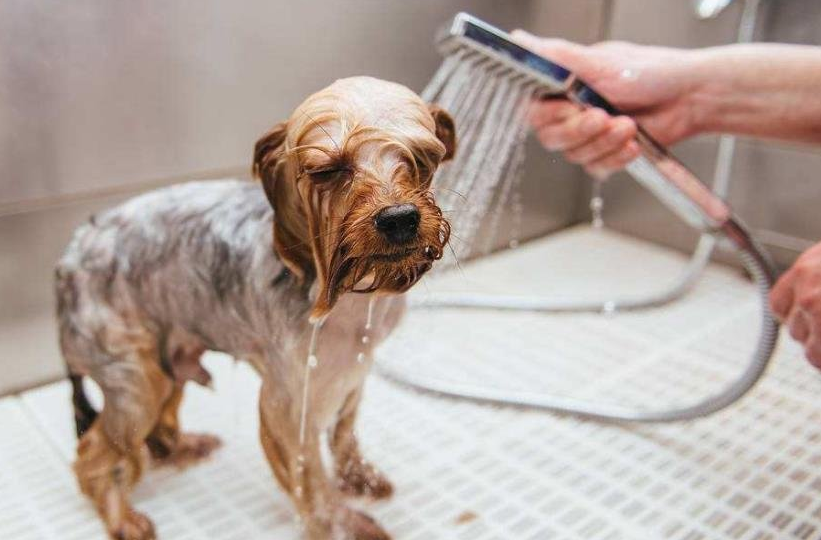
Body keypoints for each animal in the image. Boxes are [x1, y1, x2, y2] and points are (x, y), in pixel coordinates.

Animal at [57, 77, 454, 540]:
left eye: (423, 158)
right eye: (328, 171)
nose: (399, 218)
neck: (346, 293)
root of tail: (68, 258)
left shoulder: (355, 366)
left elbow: (344, 433)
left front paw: (360, 478)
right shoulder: (289, 400)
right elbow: (310, 479)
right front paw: (341, 522)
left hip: (166, 359)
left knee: (157, 428)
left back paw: (184, 447)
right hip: (134, 378)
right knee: (93, 454)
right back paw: (122, 517)